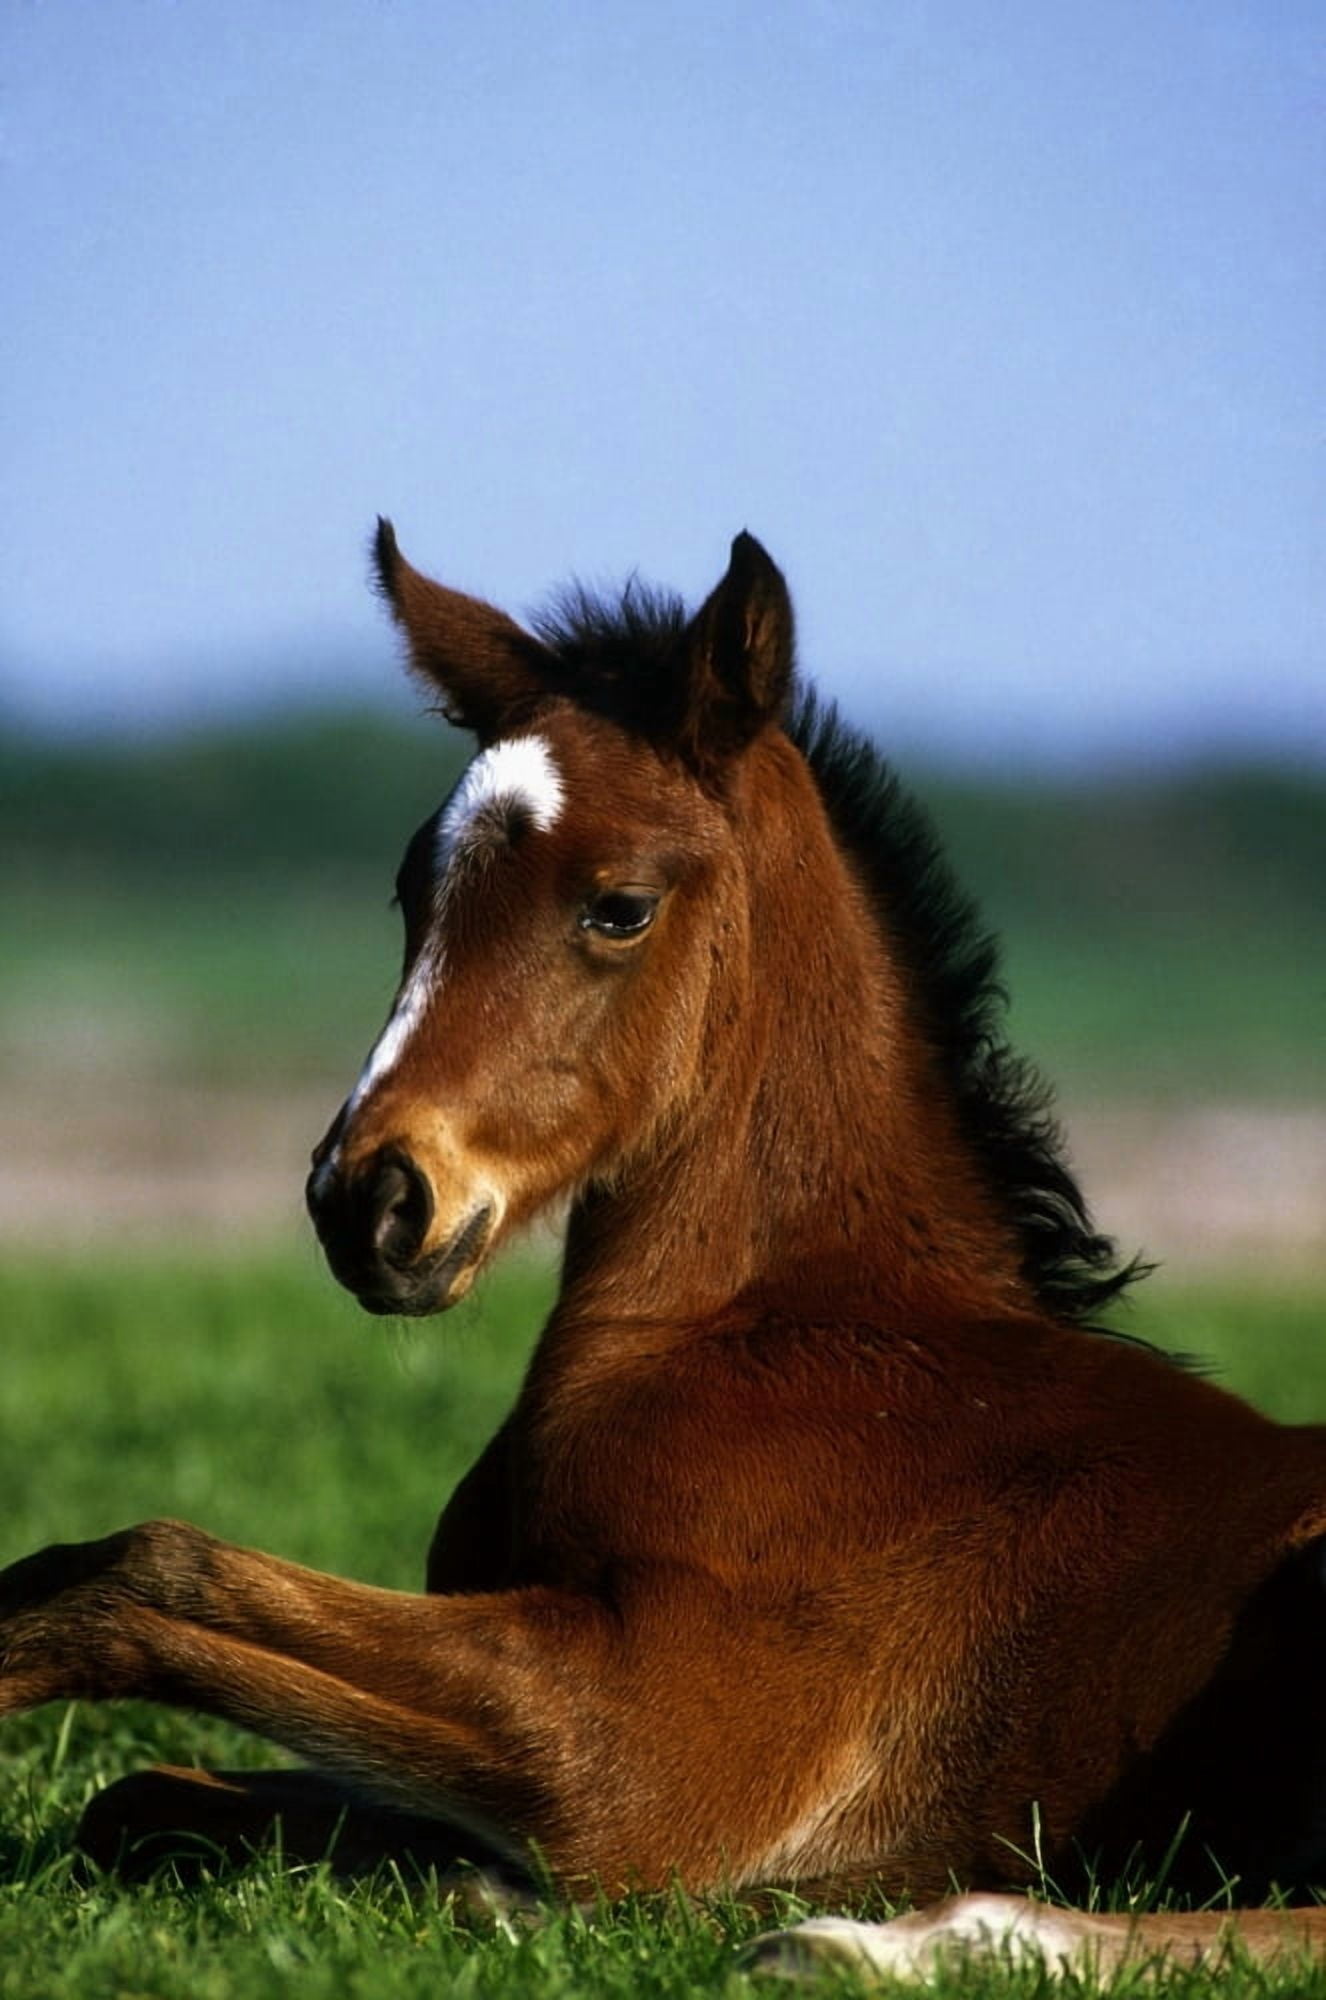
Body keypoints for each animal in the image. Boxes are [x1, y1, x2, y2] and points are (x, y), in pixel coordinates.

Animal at [2, 525, 1325, 1977]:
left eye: (620, 906)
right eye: (413, 887)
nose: (369, 1199)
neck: (771, 1337)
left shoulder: (642, 1752)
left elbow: (144, 1572)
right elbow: (140, 1786)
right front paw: (463, 1881)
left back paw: (874, 1940)